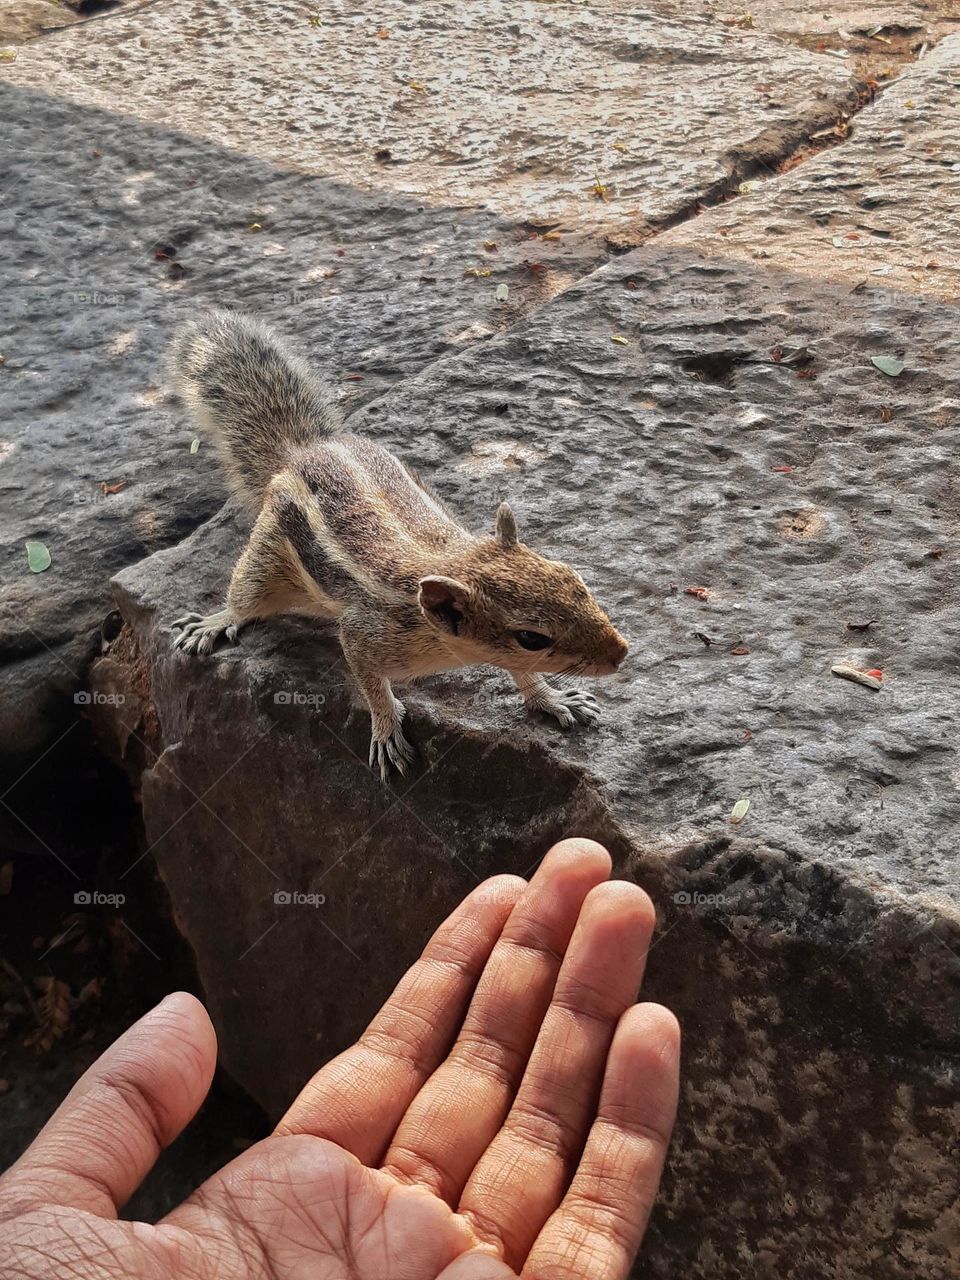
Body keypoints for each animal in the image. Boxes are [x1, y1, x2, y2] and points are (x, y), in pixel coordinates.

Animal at [168, 311, 628, 780]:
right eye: (531, 637)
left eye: (576, 580)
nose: (621, 654)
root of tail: (306, 449)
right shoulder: (364, 635)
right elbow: (370, 684)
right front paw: (386, 728)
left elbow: (524, 676)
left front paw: (552, 699)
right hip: (267, 553)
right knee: (247, 596)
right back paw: (216, 620)